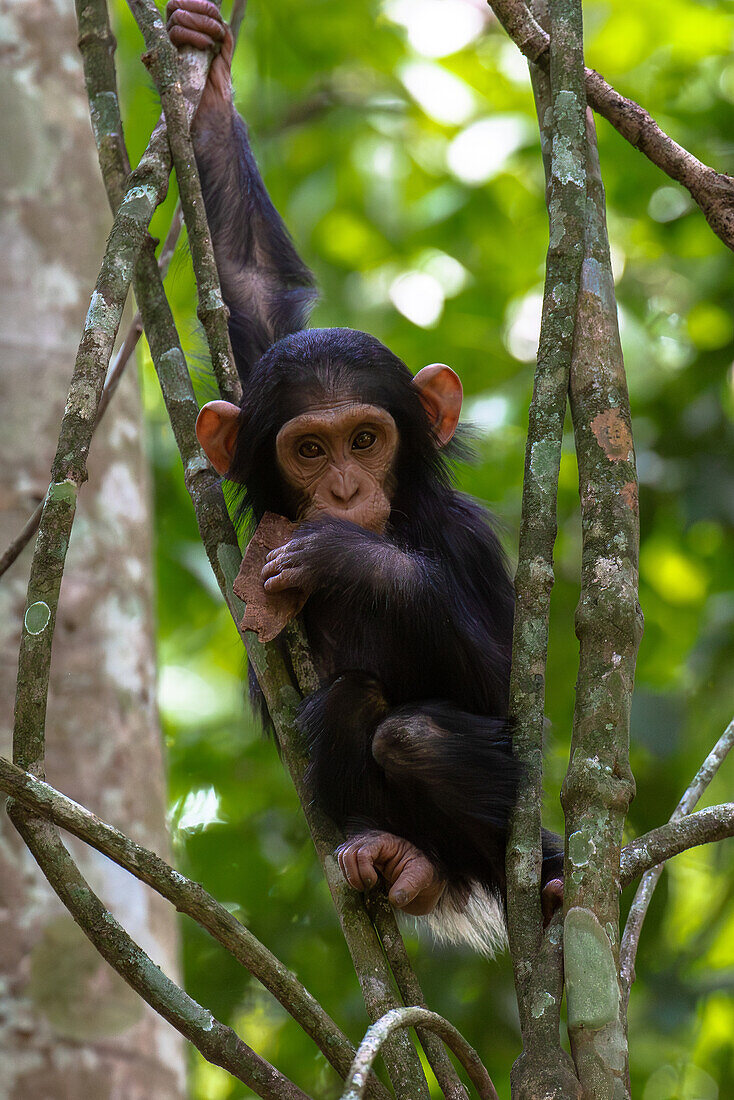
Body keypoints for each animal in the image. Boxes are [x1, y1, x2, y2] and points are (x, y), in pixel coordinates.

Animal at [168, 0, 563, 954]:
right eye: (310, 450)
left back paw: (549, 881)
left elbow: (506, 683)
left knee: (409, 733)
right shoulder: (258, 356)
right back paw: (393, 855)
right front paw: (210, 87)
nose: (346, 492)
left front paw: (349, 559)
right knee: (352, 706)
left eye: (366, 439)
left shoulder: (464, 540)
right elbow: (250, 283)